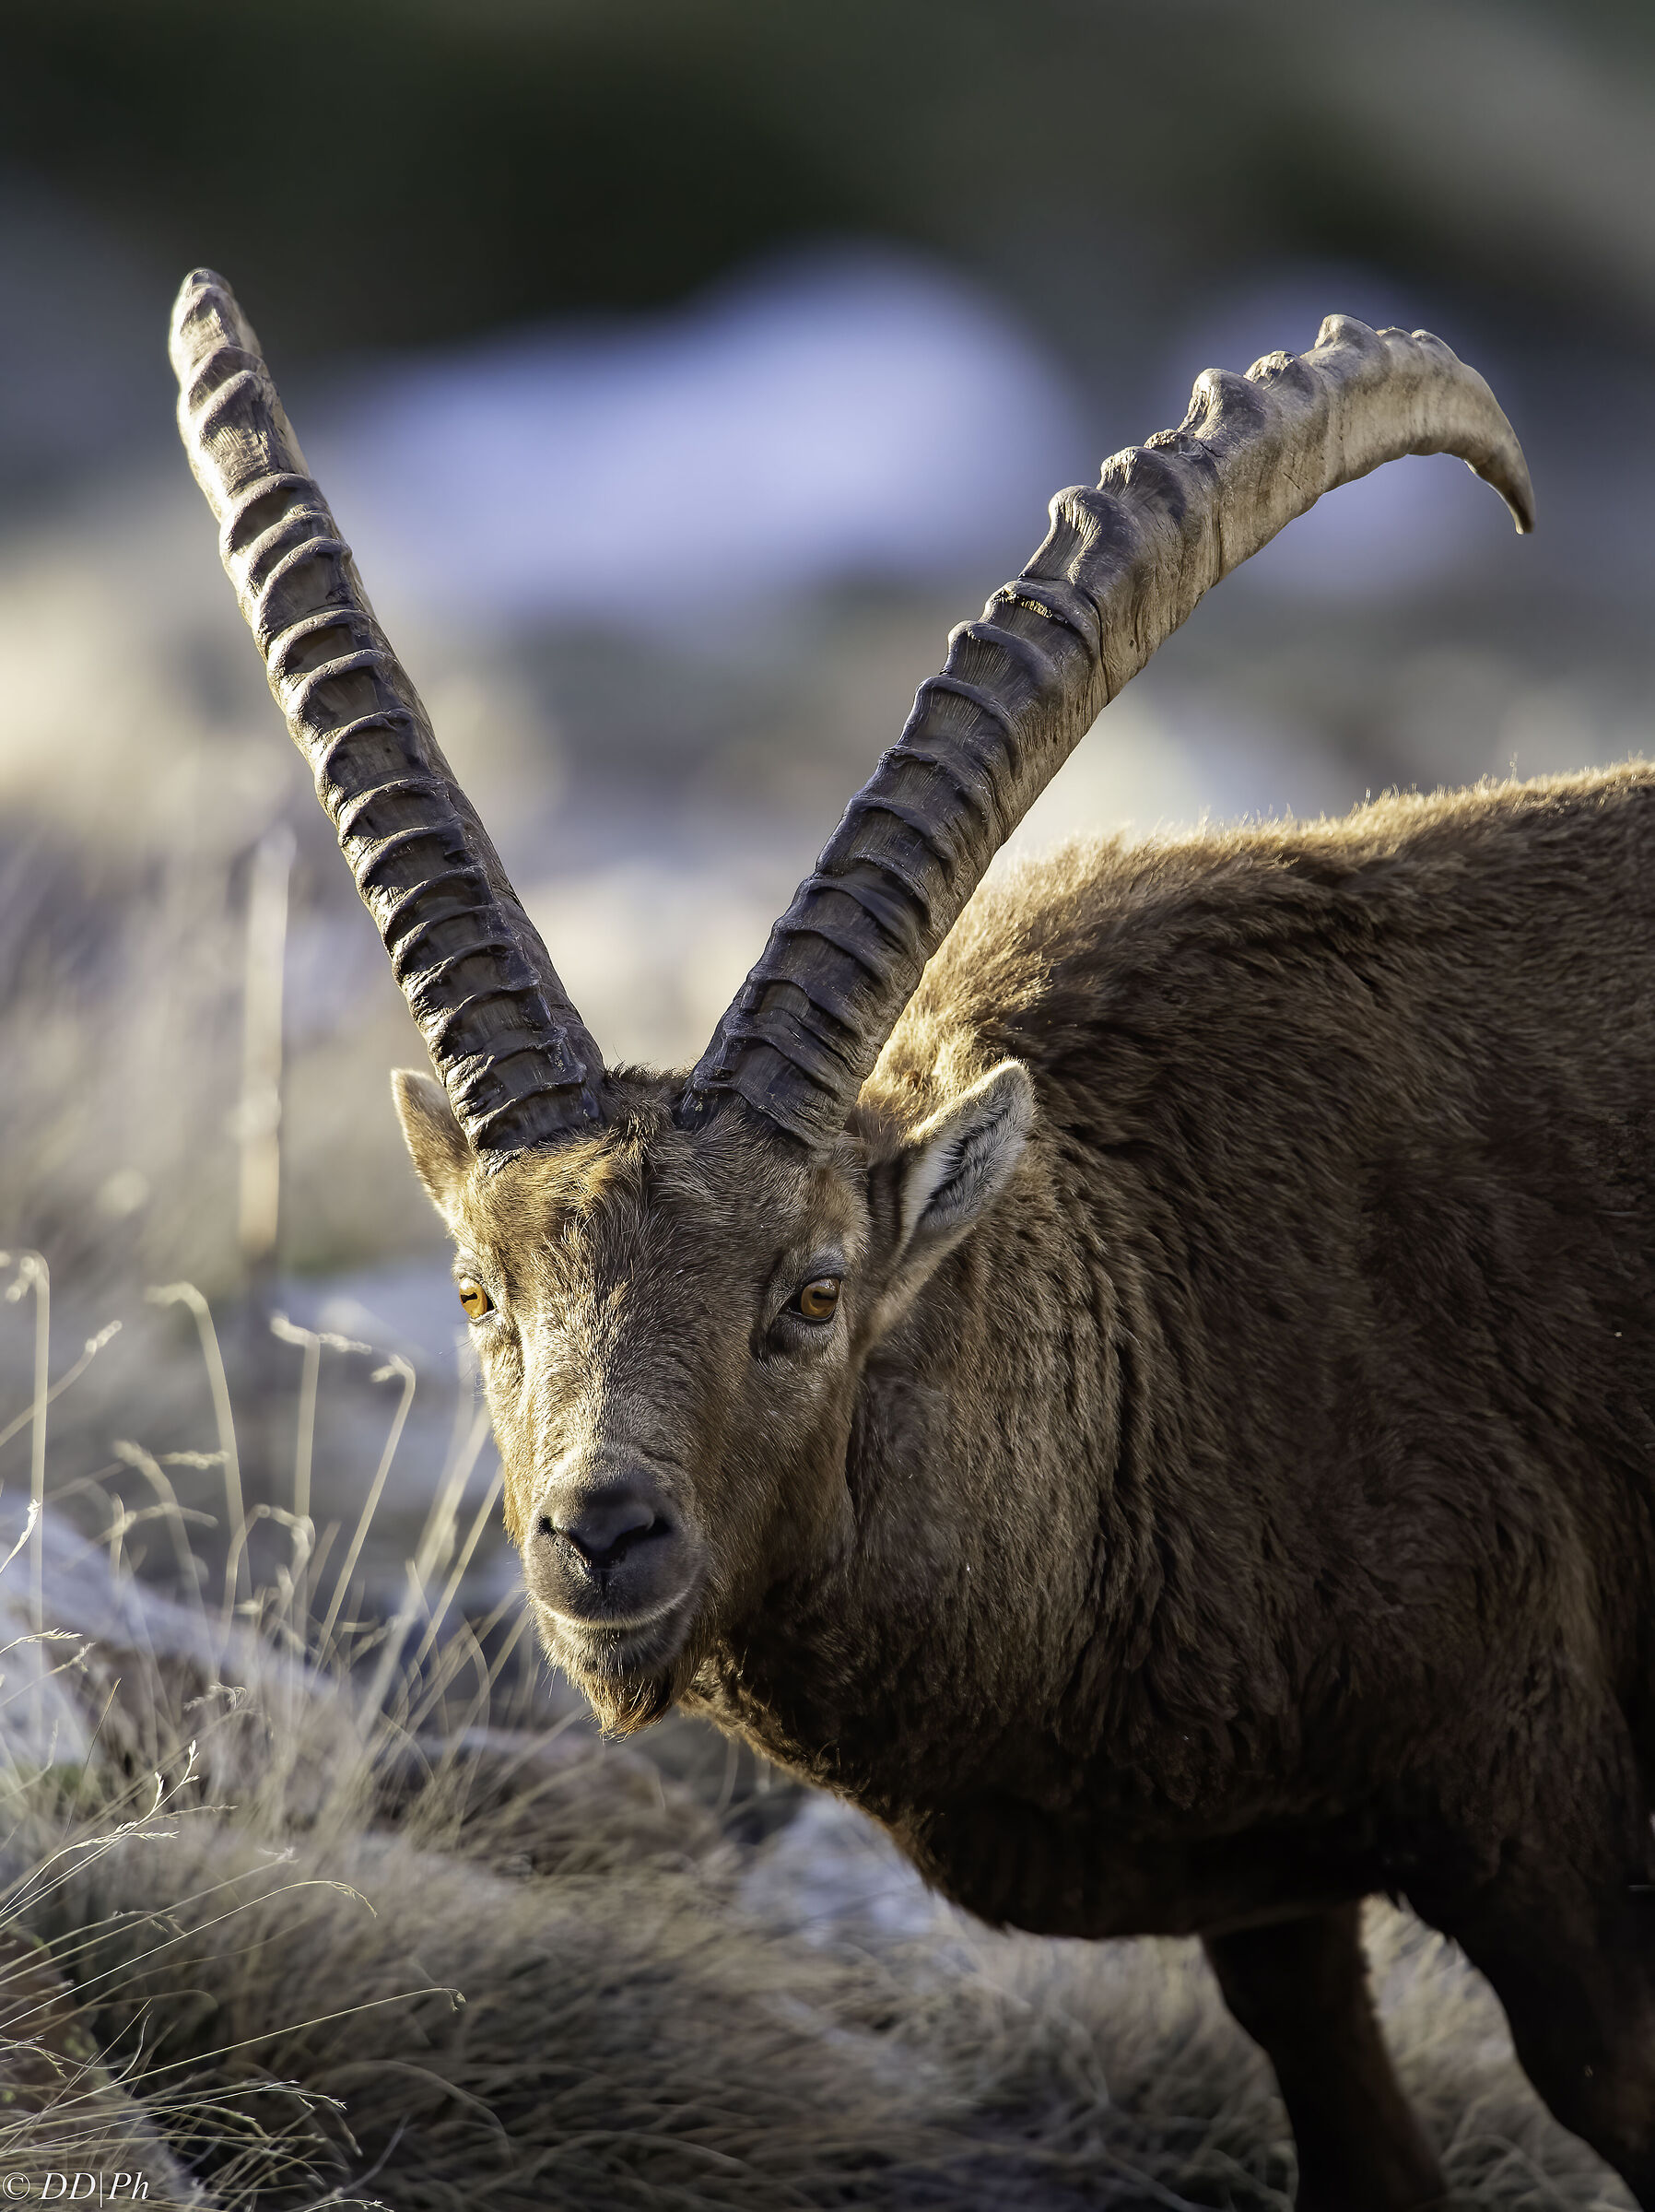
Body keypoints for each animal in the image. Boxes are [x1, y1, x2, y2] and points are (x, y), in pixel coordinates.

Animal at [171, 268, 1655, 2211]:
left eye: (815, 1294)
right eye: (480, 1290)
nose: (599, 1534)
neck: (1150, 1332)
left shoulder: (1551, 1835)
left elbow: (1605, 2072)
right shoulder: (1279, 1892)